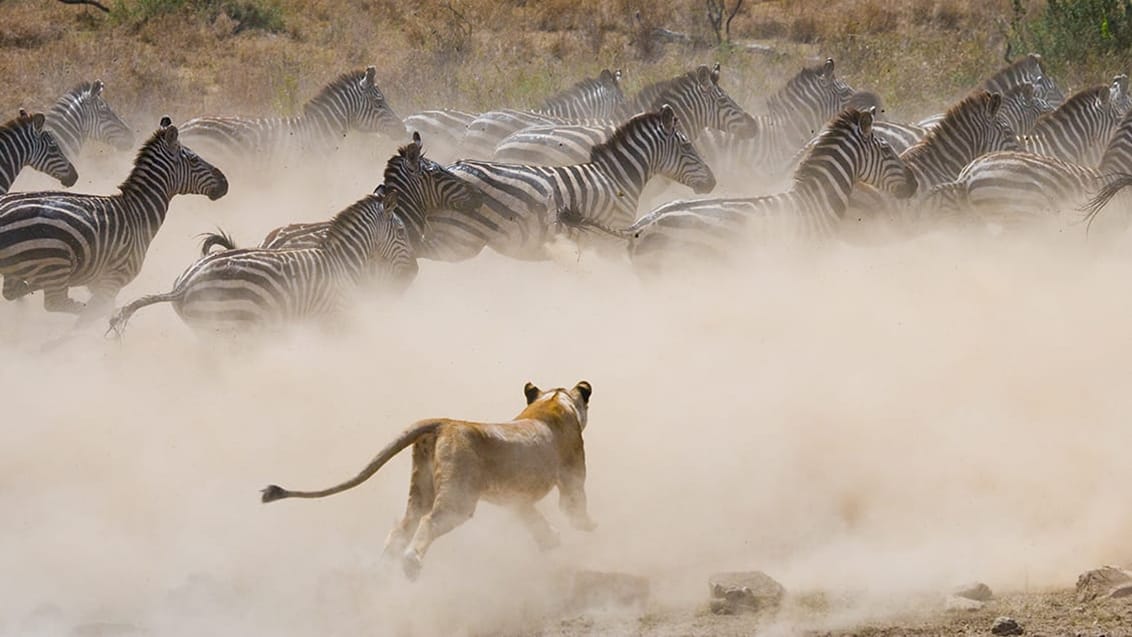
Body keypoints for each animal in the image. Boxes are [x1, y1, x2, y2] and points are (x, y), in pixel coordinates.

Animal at [0, 116, 227, 316]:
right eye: (194, 159)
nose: (225, 183)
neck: (138, 212)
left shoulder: (98, 282)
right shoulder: (113, 279)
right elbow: (96, 312)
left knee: (15, 292)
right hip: (54, 264)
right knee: (58, 303)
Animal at [425, 104, 715, 261]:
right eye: (687, 145)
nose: (712, 182)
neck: (616, 177)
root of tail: (452, 166)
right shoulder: (609, 238)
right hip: (459, 238)